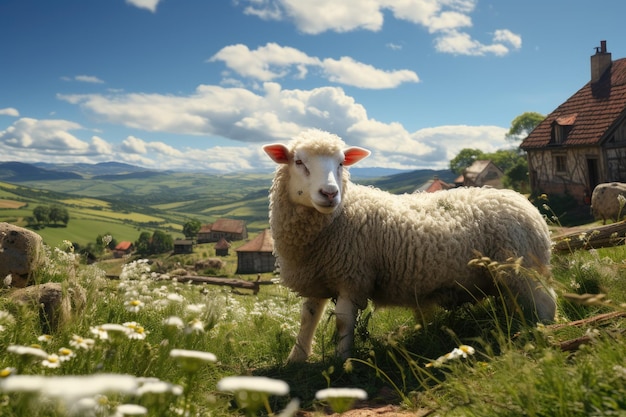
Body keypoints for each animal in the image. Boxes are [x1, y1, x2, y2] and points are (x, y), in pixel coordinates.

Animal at [260, 130, 552, 360]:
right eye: (299, 161)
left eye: (341, 163)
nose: (330, 193)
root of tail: (525, 203)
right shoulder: (317, 277)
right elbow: (307, 317)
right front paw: (297, 357)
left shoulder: (353, 277)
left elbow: (343, 323)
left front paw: (342, 361)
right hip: (502, 275)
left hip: (523, 266)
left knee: (546, 300)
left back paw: (545, 329)